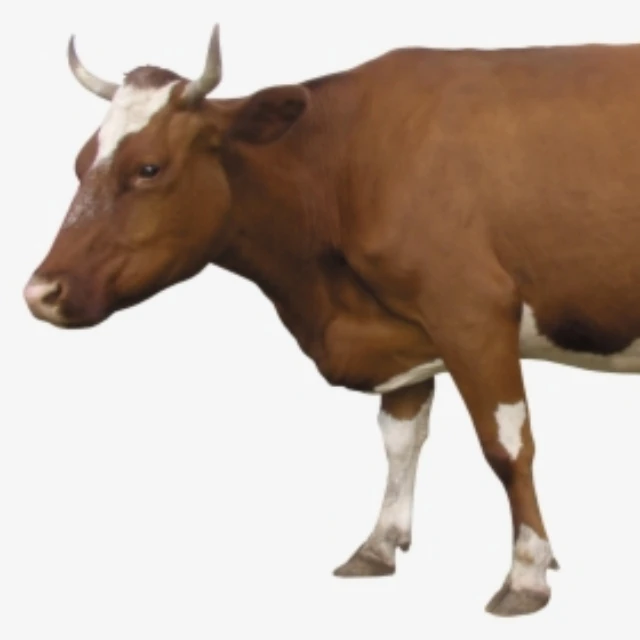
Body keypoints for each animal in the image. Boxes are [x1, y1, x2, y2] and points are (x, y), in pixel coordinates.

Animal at [23, 24, 640, 616]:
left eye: (148, 168)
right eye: (78, 164)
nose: (40, 293)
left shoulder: (472, 312)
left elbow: (507, 448)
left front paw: (527, 573)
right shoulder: (402, 334)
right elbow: (399, 439)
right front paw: (377, 546)